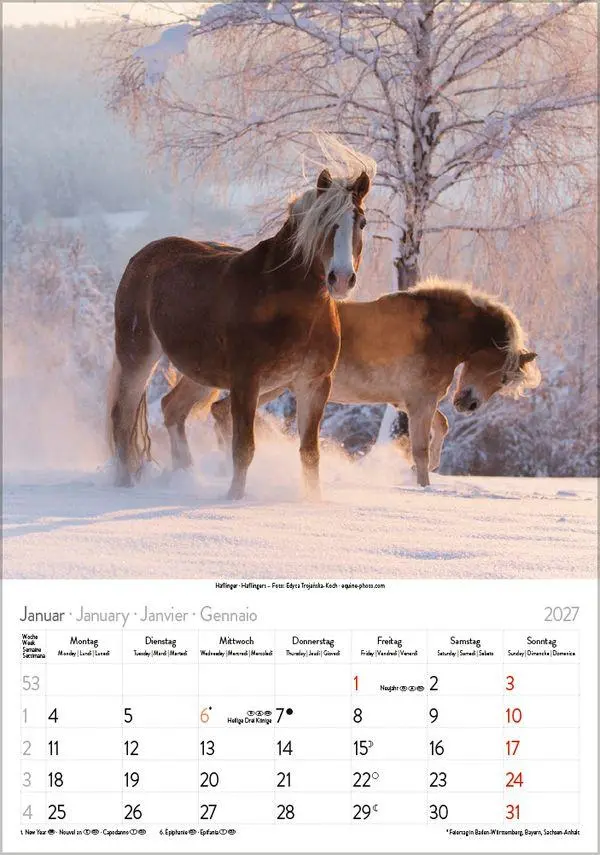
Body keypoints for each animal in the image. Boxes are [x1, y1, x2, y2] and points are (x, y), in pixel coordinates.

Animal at [108, 150, 374, 498]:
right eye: (325, 222)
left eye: (361, 222)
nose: (341, 279)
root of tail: (139, 258)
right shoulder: (246, 381)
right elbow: (243, 448)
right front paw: (234, 498)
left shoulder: (314, 383)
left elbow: (309, 454)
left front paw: (313, 502)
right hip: (138, 356)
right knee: (123, 418)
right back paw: (124, 485)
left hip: (202, 373)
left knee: (171, 408)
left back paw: (185, 475)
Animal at [163, 278, 540, 487]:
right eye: (500, 372)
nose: (469, 404)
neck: (438, 331)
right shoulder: (419, 400)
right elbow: (419, 448)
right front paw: (424, 485)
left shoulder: (408, 400)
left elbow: (441, 426)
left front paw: (429, 467)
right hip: (263, 385)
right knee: (212, 410)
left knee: (197, 409)